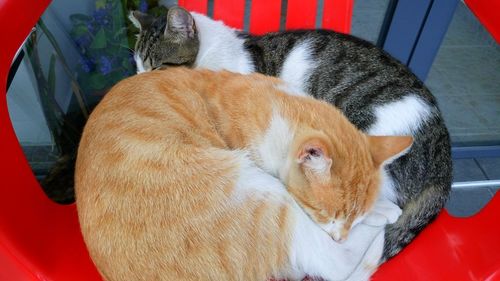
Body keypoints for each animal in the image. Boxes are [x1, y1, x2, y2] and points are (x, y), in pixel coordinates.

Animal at [74, 68, 410, 280]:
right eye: (327, 215)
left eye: (353, 217)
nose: (341, 235)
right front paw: (381, 215)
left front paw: (375, 210)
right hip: (254, 189)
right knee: (334, 262)